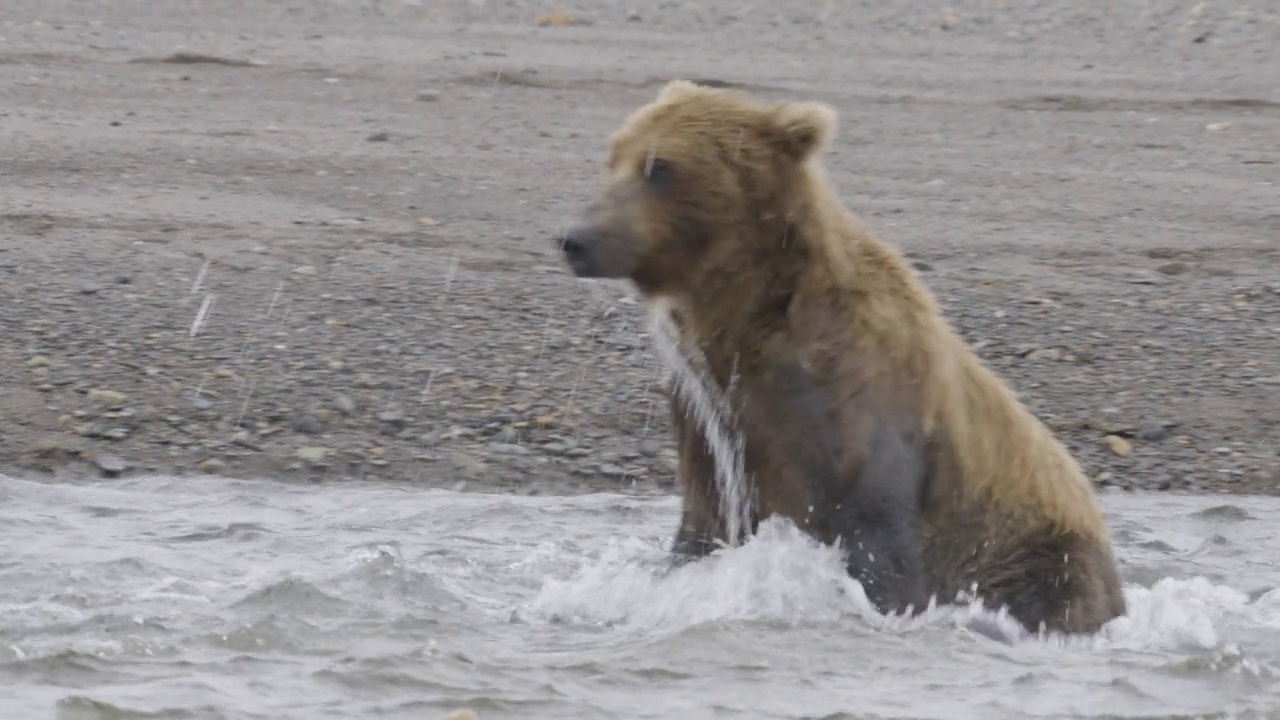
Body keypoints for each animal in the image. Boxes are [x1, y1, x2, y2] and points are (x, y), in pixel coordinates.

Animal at [555, 79, 1126, 632]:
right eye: (614, 156)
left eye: (660, 166)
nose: (576, 239)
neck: (749, 319)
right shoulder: (710, 418)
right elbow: (700, 529)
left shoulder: (856, 404)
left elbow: (881, 547)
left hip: (1040, 556)